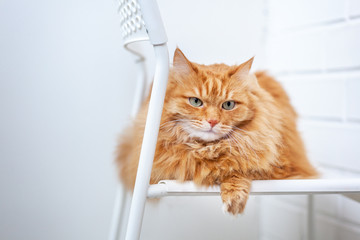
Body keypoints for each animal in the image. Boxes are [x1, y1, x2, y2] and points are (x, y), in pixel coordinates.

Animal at [116, 48, 316, 214]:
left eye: (228, 105)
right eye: (195, 101)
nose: (212, 121)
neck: (207, 148)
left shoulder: (281, 166)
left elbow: (239, 168)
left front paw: (234, 197)